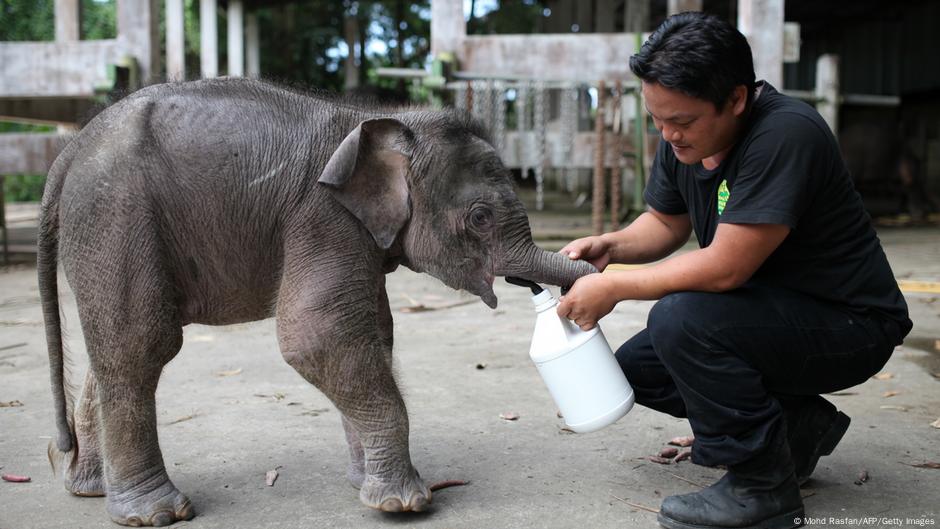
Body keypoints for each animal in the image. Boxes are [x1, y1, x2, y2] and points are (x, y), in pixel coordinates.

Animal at [42, 77, 596, 524]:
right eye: (480, 217)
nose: (582, 270)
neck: (383, 123)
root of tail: (69, 151)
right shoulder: (323, 216)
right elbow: (317, 336)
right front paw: (405, 504)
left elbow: (373, 333)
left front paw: (365, 483)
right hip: (115, 215)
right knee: (141, 345)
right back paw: (156, 514)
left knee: (113, 350)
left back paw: (87, 488)